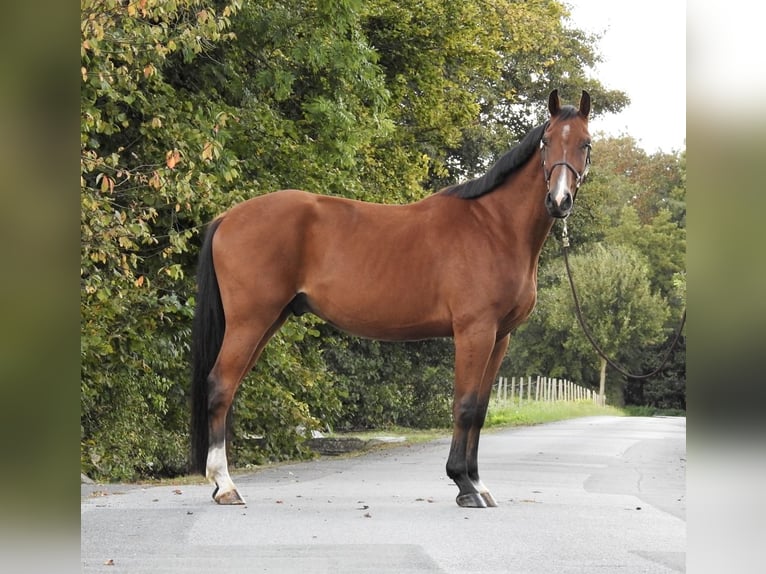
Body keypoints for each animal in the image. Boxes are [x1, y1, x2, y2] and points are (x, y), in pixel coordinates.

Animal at [189, 89, 592, 508]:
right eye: (547, 142)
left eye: (586, 144)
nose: (559, 200)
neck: (493, 227)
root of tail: (227, 218)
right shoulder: (474, 332)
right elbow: (464, 406)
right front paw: (464, 484)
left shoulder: (500, 337)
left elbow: (480, 410)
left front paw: (478, 484)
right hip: (250, 321)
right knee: (220, 385)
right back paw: (225, 485)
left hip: (270, 320)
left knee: (229, 387)